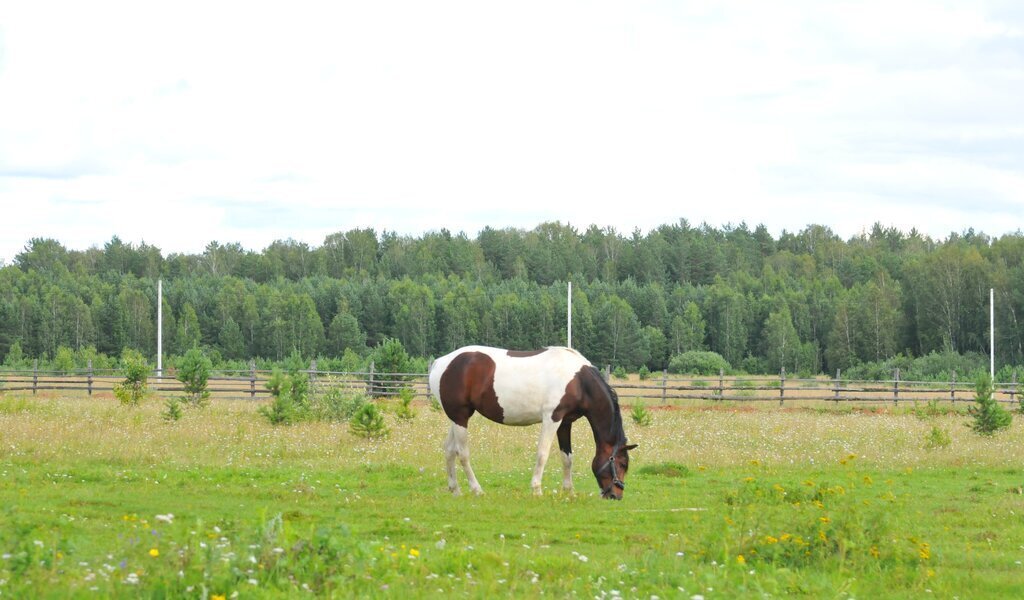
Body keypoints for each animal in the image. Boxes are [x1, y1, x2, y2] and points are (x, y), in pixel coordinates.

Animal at [425, 344, 634, 497]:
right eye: (622, 464)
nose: (616, 495)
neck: (578, 381)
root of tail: (440, 363)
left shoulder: (565, 422)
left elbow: (567, 458)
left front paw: (569, 492)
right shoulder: (552, 418)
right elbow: (543, 454)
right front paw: (536, 489)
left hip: (458, 418)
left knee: (449, 450)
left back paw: (455, 490)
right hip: (460, 417)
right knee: (462, 453)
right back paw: (477, 490)